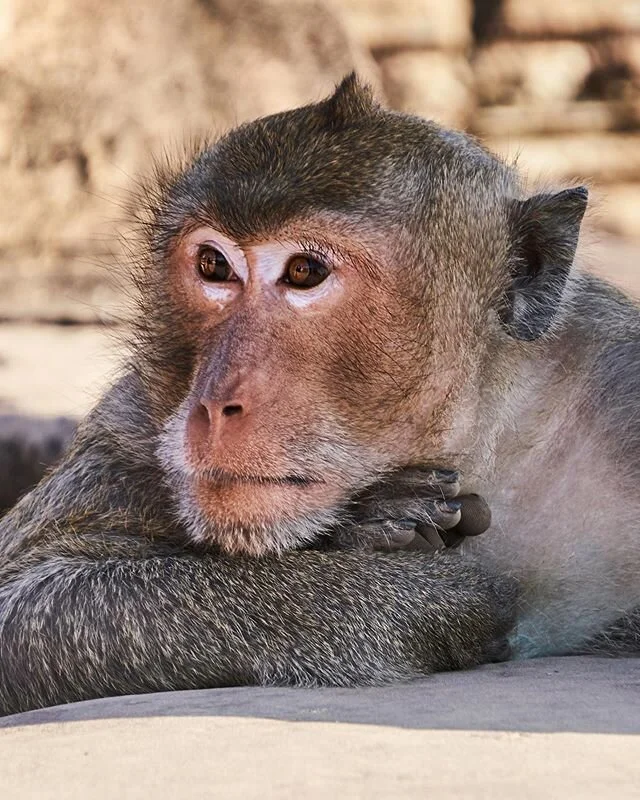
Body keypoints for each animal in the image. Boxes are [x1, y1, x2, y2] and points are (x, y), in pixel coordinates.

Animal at [0, 72, 637, 716]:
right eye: (213, 265)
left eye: (305, 272)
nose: (214, 403)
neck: (479, 442)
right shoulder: (132, 427)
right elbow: (21, 601)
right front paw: (401, 564)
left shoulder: (619, 383)